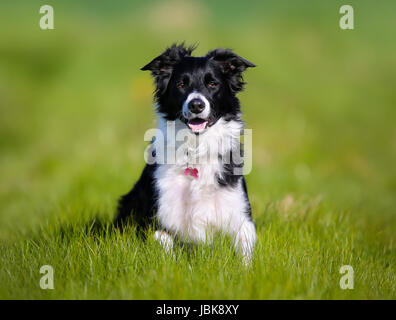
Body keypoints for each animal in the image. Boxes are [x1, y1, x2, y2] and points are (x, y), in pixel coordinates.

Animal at [115, 43, 256, 264]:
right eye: (181, 84)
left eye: (212, 83)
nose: (196, 105)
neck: (196, 150)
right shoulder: (157, 218)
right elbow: (165, 245)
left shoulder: (241, 216)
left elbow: (245, 254)